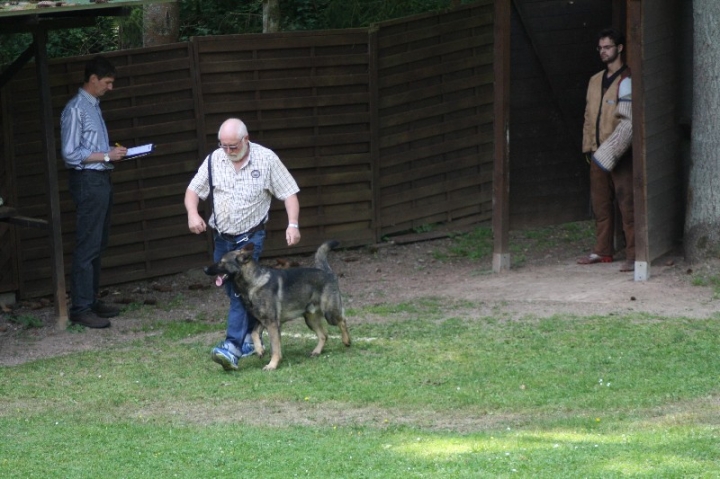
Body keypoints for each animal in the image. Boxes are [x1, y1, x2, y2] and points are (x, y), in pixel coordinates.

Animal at [202, 240, 352, 372]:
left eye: (222, 262)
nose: (204, 269)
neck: (254, 282)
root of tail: (327, 272)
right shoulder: (262, 321)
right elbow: (254, 333)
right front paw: (260, 350)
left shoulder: (272, 324)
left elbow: (275, 347)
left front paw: (272, 365)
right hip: (310, 320)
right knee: (324, 335)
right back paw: (317, 351)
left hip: (330, 313)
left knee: (342, 321)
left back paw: (346, 341)